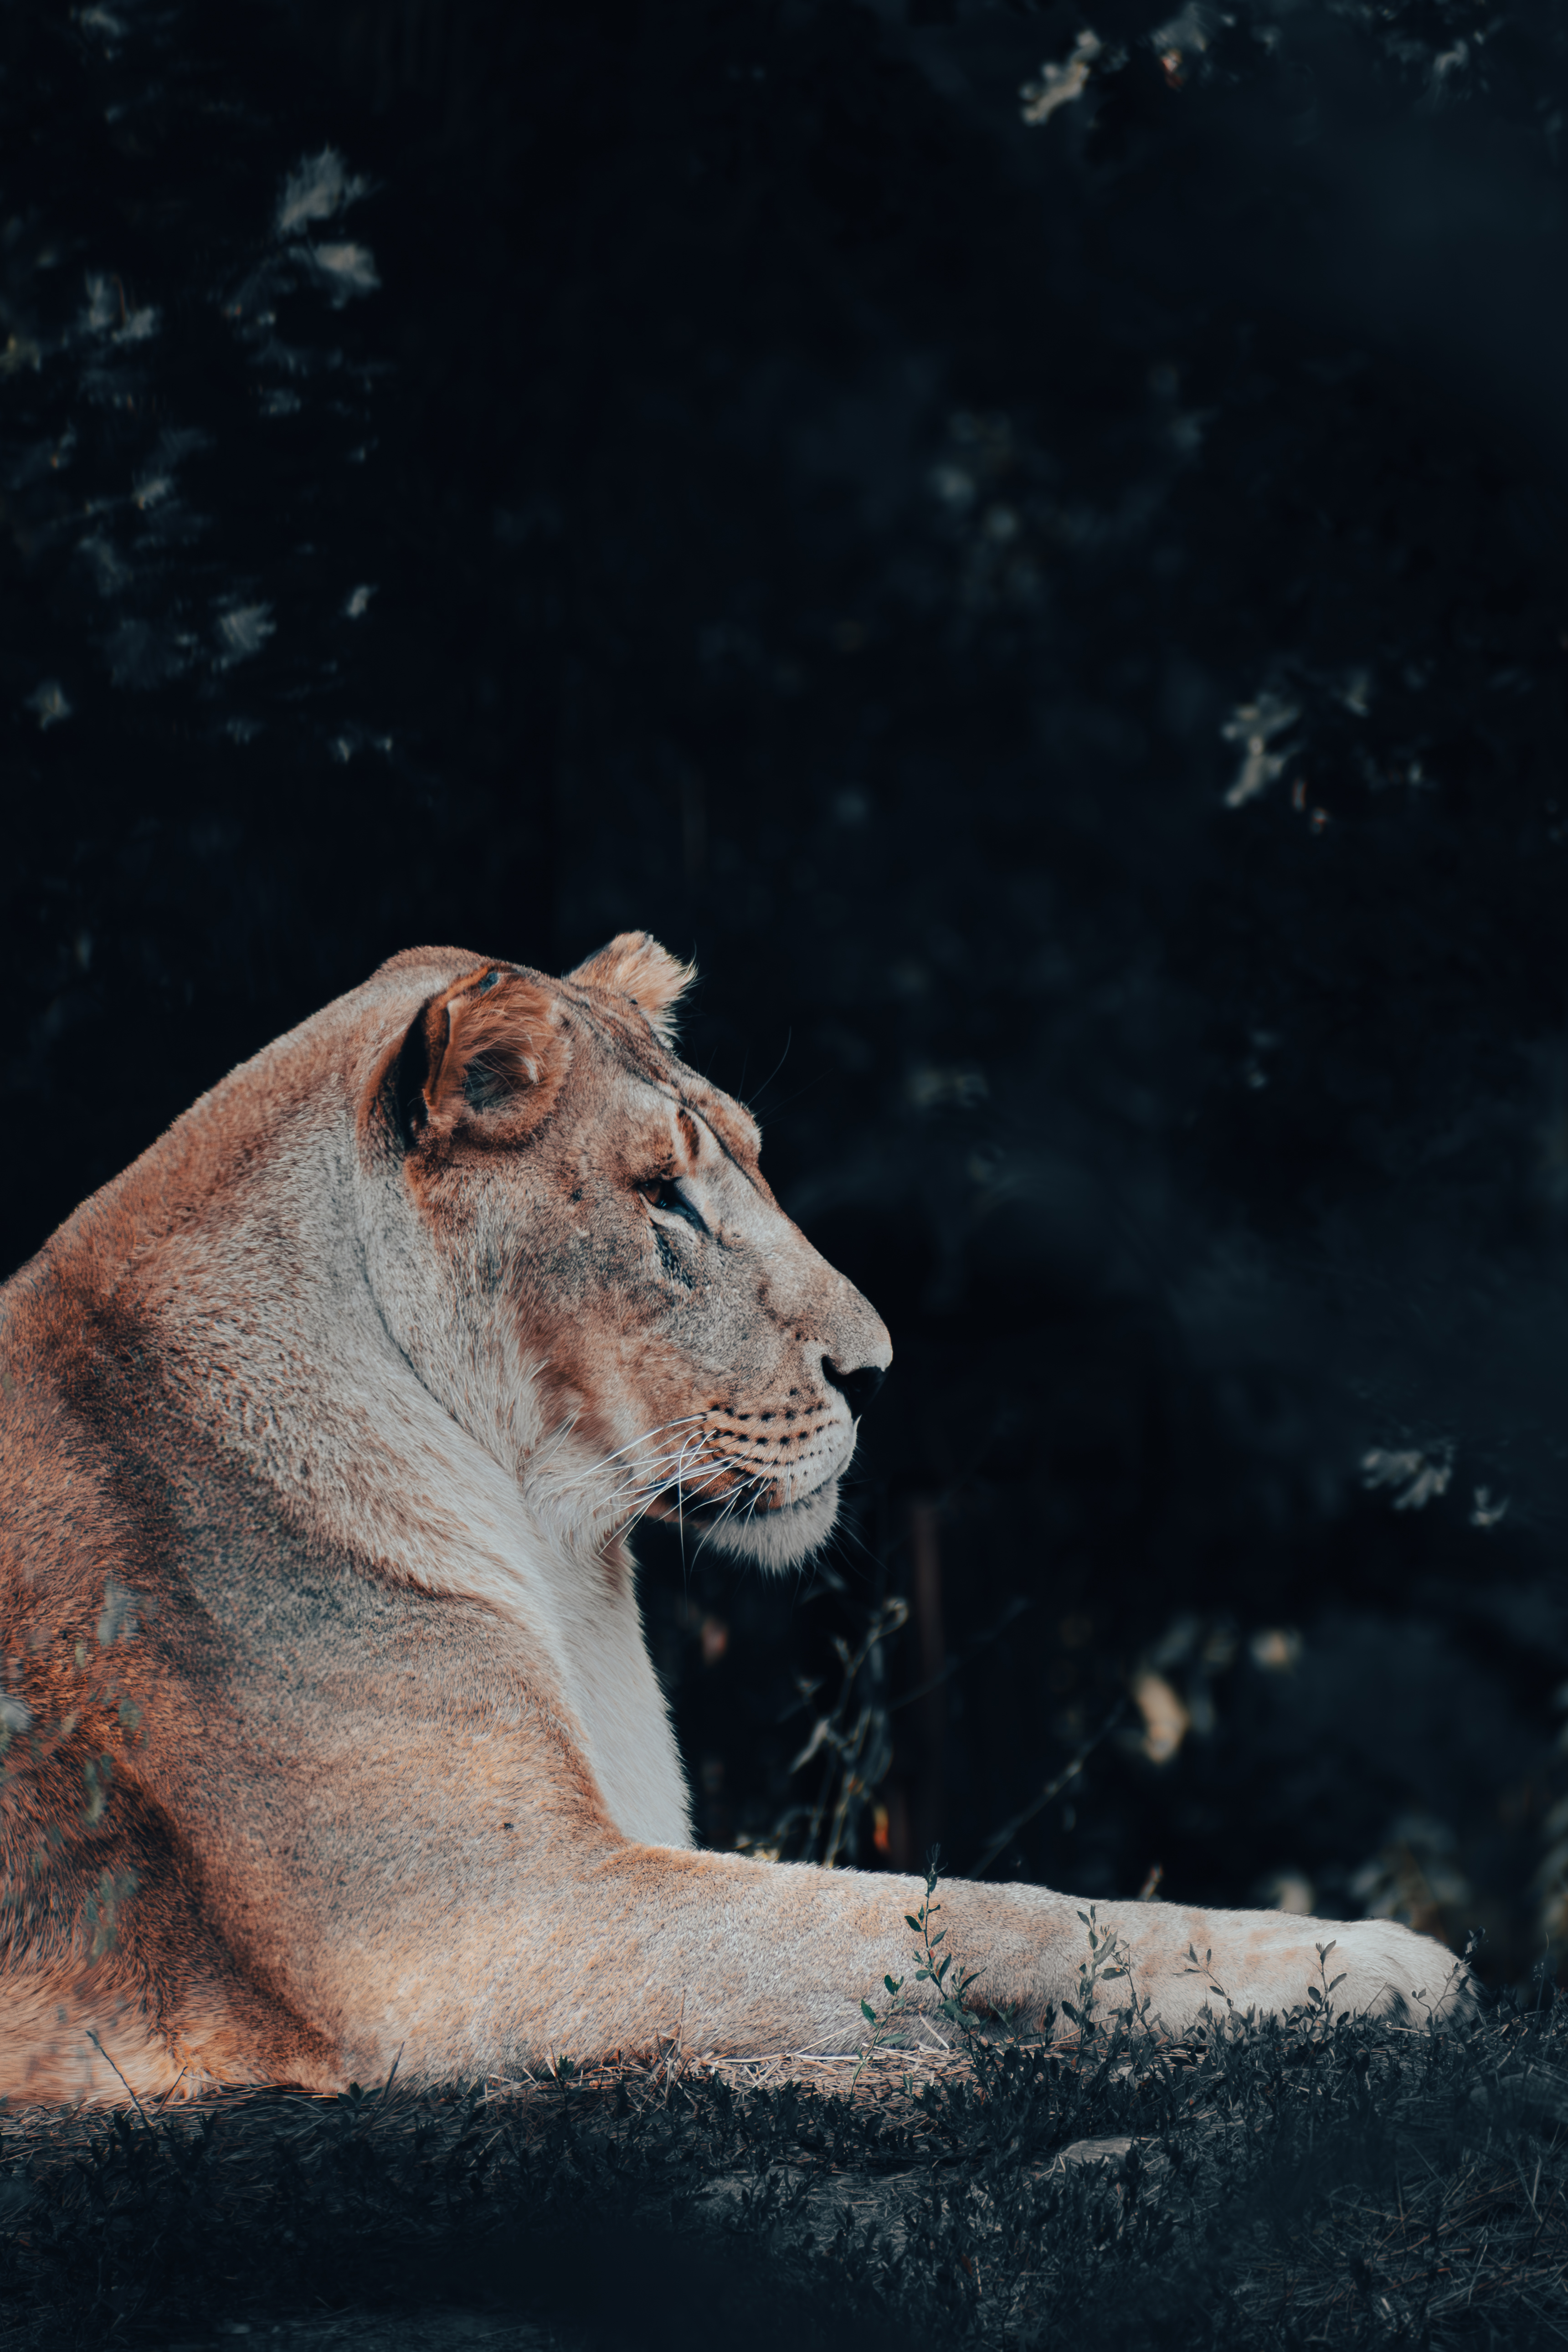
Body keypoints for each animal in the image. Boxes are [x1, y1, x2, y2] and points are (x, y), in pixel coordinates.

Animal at [0, 937, 1461, 2103]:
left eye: (755, 1161)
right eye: (667, 1197)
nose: (876, 1369)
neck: (562, 1559)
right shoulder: (463, 1930)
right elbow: (998, 1920)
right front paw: (1378, 1959)